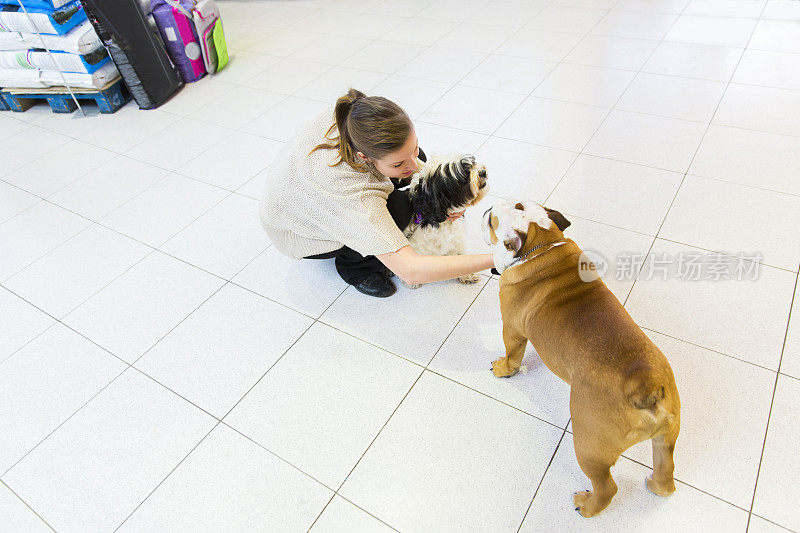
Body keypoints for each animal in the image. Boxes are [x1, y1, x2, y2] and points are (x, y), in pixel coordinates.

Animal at [404, 153, 490, 286]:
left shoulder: (457, 239)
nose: (483, 172)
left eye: (472, 164)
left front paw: (467, 275)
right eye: (463, 178)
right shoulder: (417, 248)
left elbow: (461, 258)